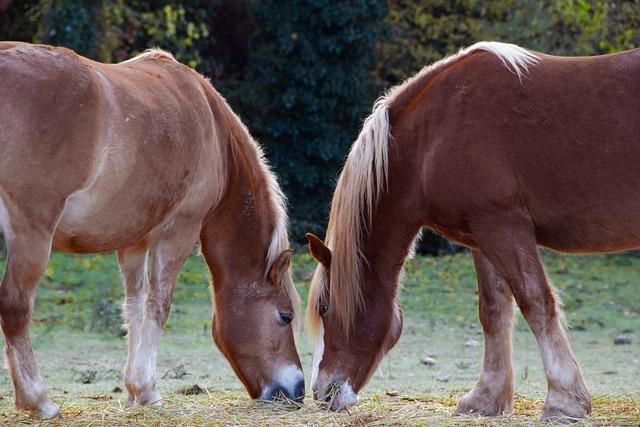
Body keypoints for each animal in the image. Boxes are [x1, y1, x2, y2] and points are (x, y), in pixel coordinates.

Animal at [0, 42, 304, 418]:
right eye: (285, 316)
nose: (298, 390)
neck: (215, 134)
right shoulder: (178, 234)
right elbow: (159, 306)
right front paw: (148, 391)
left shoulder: (132, 242)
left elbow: (134, 307)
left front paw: (133, 392)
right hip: (32, 234)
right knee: (15, 307)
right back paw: (38, 400)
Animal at [304, 41, 640, 422]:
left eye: (325, 308)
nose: (322, 393)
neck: (434, 133)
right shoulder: (481, 236)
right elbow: (493, 310)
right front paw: (486, 398)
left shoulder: (503, 225)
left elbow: (535, 302)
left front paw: (564, 400)